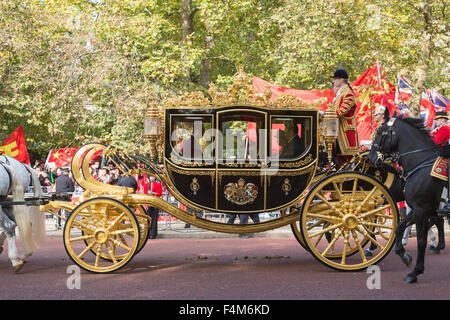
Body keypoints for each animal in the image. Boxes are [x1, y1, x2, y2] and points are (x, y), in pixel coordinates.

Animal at [370, 109, 446, 282]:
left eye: (380, 131)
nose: (371, 158)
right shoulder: (419, 208)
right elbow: (399, 227)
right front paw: (404, 255)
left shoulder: (421, 209)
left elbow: (420, 240)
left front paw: (415, 272)